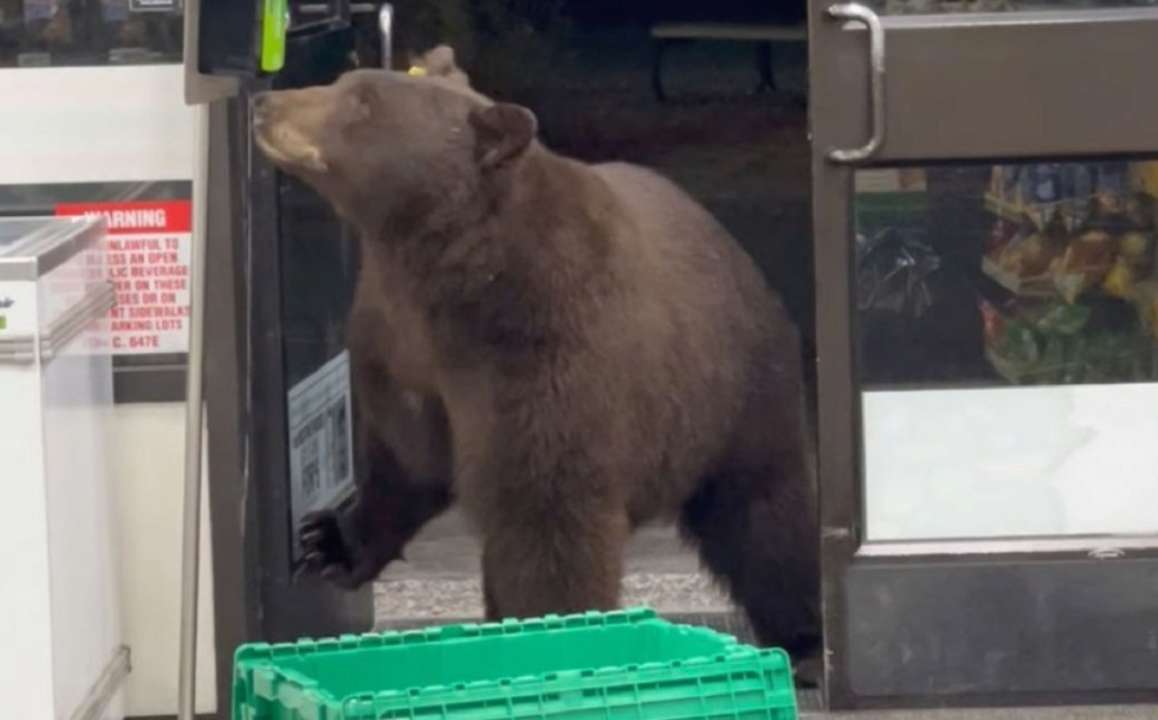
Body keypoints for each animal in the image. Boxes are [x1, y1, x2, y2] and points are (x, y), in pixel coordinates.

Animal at [254, 60, 819, 662]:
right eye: (347, 81)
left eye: (363, 101)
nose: (266, 104)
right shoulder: (397, 346)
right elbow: (404, 458)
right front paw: (327, 541)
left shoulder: (542, 353)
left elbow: (547, 521)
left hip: (734, 394)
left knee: (764, 521)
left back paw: (804, 638)